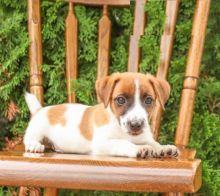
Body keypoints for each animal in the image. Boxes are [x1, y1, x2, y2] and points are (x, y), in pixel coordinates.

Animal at [23, 72, 179, 158]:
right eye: (120, 100)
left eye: (148, 100)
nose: (136, 125)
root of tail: (40, 109)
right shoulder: (102, 143)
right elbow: (122, 143)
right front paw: (139, 148)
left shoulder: (144, 137)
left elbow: (154, 143)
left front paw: (164, 148)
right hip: (36, 131)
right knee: (29, 139)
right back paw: (34, 146)